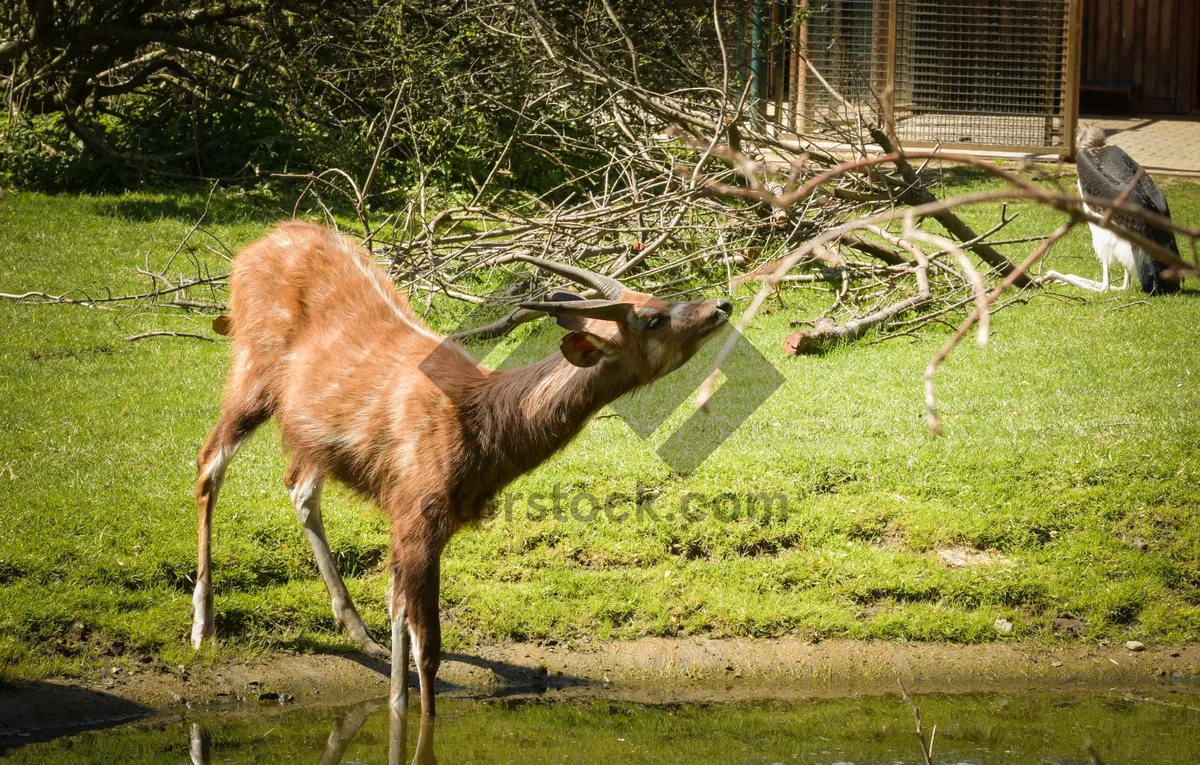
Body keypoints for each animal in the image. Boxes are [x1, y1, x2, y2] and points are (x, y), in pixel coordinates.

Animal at [189, 220, 729, 719]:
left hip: (311, 434)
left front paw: (392, 684)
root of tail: (254, 247)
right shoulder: (415, 512)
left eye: (659, 296)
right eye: (653, 319)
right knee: (208, 464)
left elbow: (401, 621)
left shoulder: (419, 521)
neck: (485, 430)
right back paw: (203, 626)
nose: (721, 304)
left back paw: (357, 631)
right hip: (251, 371)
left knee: (298, 486)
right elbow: (428, 649)